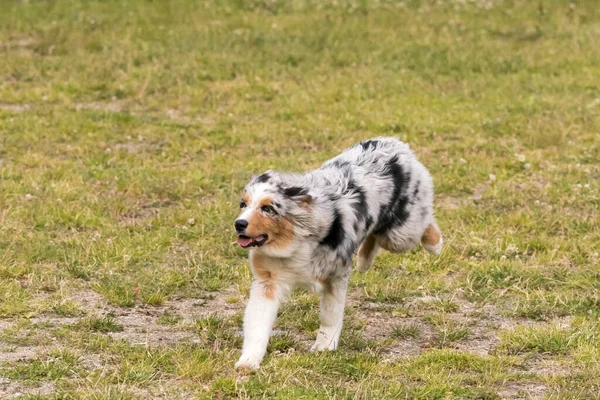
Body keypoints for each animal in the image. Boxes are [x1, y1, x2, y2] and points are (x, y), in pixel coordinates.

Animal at [233, 138, 440, 368]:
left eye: (268, 208)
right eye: (243, 204)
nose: (239, 224)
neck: (293, 242)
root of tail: (394, 142)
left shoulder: (335, 275)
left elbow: (330, 315)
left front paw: (324, 346)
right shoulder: (267, 281)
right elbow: (258, 324)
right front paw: (248, 362)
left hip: (400, 234)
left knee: (423, 222)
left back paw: (435, 245)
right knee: (374, 235)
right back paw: (364, 261)